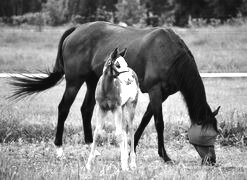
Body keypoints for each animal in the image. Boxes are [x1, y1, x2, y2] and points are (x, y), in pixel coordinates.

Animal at [9, 21, 220, 165]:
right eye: (206, 136)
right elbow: (159, 123)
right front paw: (165, 156)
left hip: (92, 82)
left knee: (86, 109)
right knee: (63, 109)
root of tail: (76, 30)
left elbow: (144, 121)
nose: (212, 160)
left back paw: (92, 149)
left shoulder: (161, 94)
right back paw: (59, 150)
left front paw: (130, 150)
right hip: (74, 82)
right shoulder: (155, 91)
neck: (169, 53)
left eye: (215, 135)